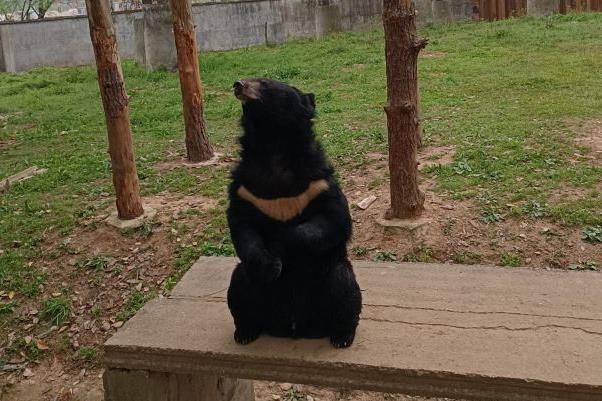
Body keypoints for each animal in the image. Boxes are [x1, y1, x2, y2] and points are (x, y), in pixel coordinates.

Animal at [226, 78, 360, 346]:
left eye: (265, 83)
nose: (238, 84)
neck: (274, 144)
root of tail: (295, 327)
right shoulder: (246, 191)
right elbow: (242, 227)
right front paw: (272, 266)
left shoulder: (318, 184)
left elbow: (334, 220)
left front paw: (281, 239)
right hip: (254, 290)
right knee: (239, 285)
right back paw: (246, 332)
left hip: (328, 281)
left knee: (345, 287)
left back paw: (342, 336)